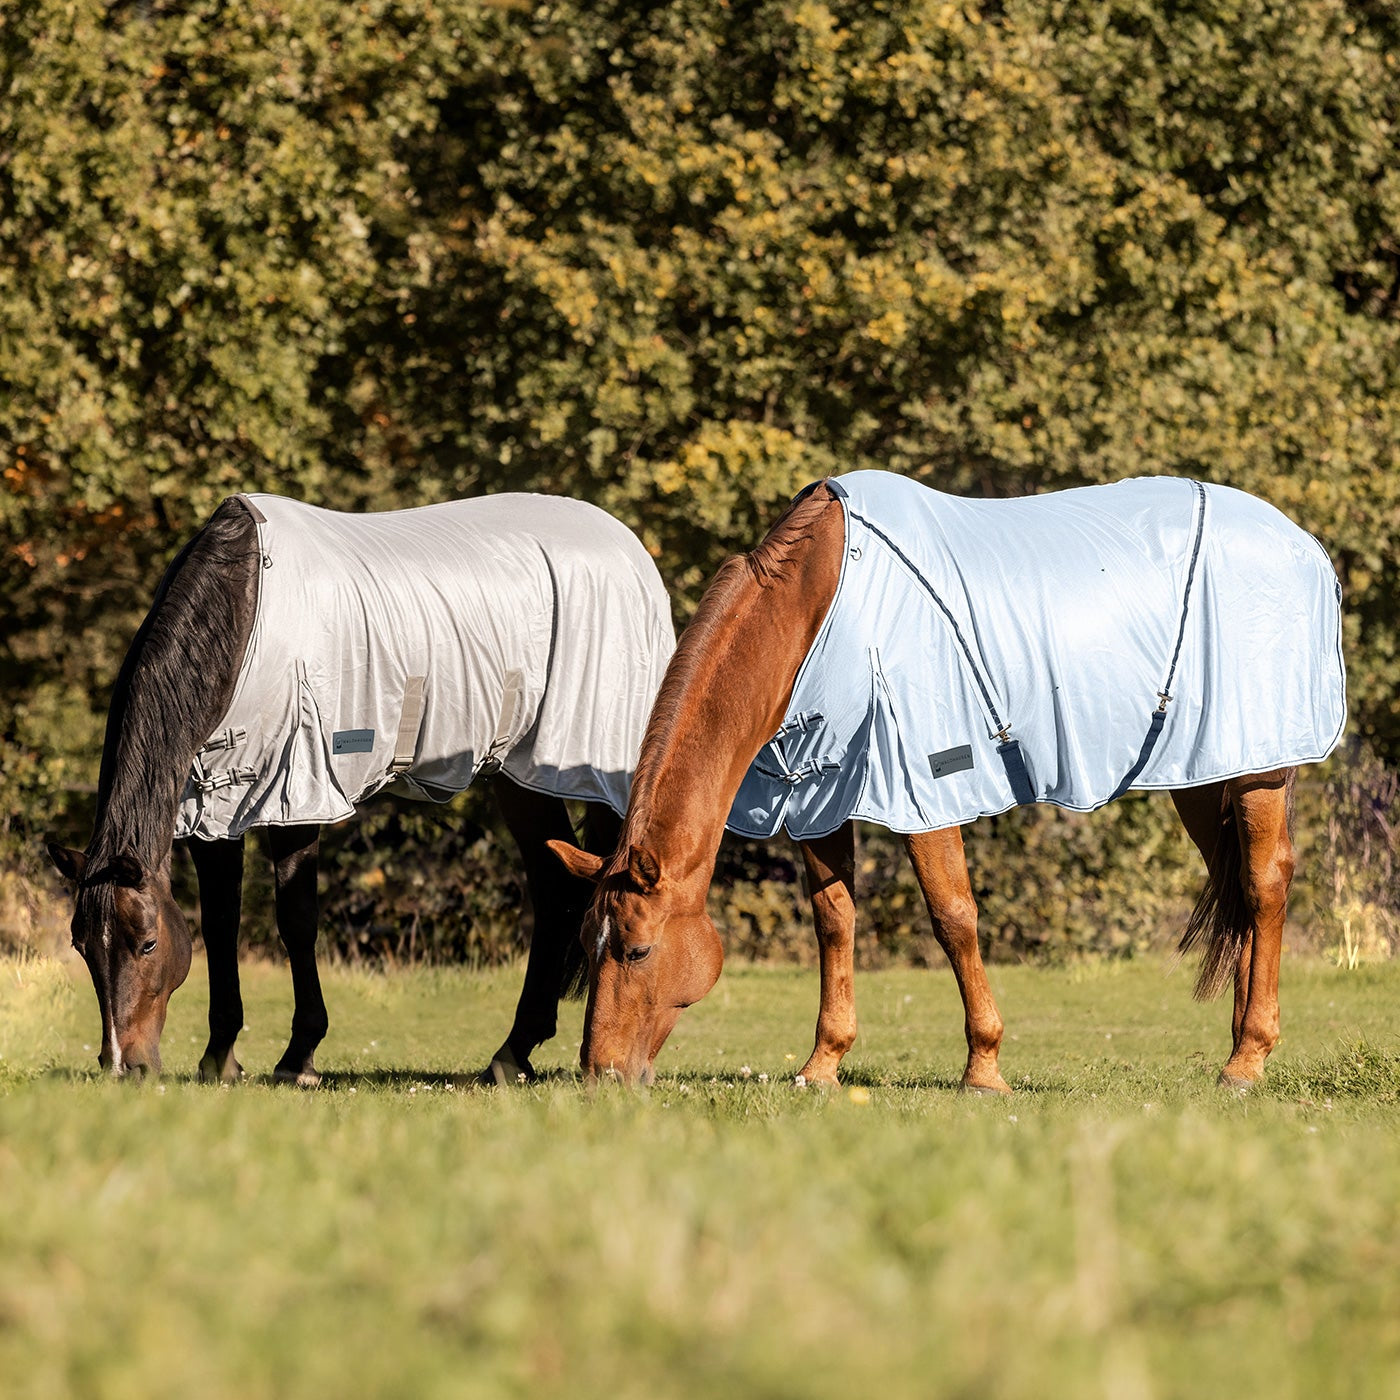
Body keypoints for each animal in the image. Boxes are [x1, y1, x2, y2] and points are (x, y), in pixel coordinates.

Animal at [48, 491, 674, 1083]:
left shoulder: (295, 796)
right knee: (555, 888)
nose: (123, 1065)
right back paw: (512, 1055)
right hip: (519, 774)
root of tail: (630, 549)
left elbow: (297, 922)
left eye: (147, 943)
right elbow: (220, 925)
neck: (247, 613)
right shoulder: (214, 809)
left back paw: (520, 1051)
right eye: (83, 944)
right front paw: (220, 1059)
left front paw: (298, 1058)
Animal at [547, 472, 1345, 1089]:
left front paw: (983, 1069)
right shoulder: (816, 797)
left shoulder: (925, 788)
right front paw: (822, 1066)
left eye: (637, 950)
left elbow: (953, 917)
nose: (600, 1076)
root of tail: (1302, 544)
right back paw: (1240, 1046)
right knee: (1237, 885)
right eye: (585, 942)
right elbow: (834, 920)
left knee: (1266, 884)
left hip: (1260, 768)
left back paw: (1247, 1062)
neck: (824, 603)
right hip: (1203, 773)